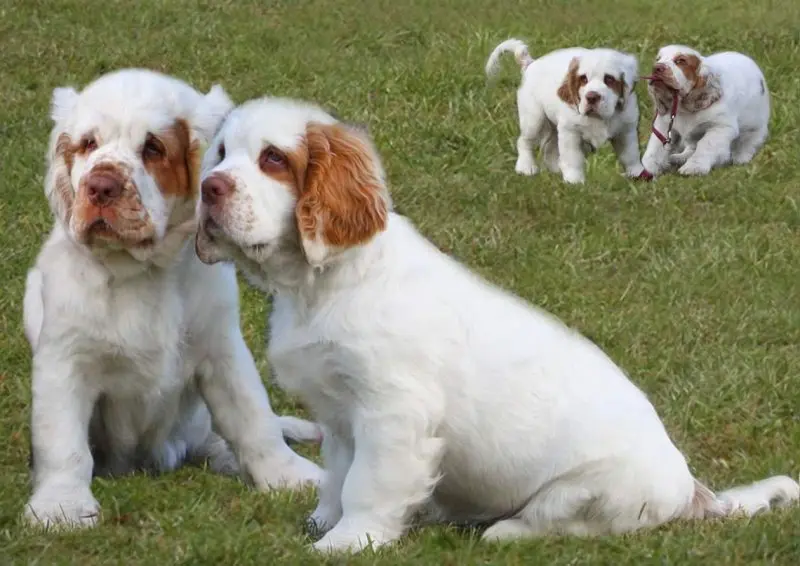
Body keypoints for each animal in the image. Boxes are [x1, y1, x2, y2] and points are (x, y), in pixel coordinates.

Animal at [25, 69, 324, 532]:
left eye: (153, 148)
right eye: (88, 144)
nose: (100, 186)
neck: (142, 271)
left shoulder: (221, 351)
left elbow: (253, 418)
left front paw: (290, 476)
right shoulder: (65, 359)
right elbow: (62, 439)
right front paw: (62, 506)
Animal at [195, 96, 800, 556]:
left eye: (274, 159)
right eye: (220, 154)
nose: (209, 189)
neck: (321, 285)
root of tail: (695, 491)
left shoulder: (393, 412)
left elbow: (368, 485)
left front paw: (346, 542)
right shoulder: (340, 415)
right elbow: (339, 477)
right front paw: (323, 522)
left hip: (590, 492)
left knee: (557, 524)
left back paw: (501, 530)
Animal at [482, 38, 648, 184]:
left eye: (609, 79)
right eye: (583, 79)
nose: (592, 97)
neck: (599, 117)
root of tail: (531, 63)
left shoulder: (626, 130)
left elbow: (630, 155)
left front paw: (638, 174)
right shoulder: (570, 132)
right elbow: (573, 158)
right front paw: (574, 181)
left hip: (553, 128)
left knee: (549, 149)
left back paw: (556, 170)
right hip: (534, 119)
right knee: (524, 142)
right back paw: (526, 167)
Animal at [636, 45, 768, 178]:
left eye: (681, 61)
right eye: (658, 59)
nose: (657, 68)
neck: (683, 109)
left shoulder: (721, 127)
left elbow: (705, 145)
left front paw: (694, 167)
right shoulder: (663, 125)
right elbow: (655, 148)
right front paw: (644, 170)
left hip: (755, 129)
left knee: (746, 145)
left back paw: (740, 159)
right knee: (691, 147)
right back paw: (679, 158)